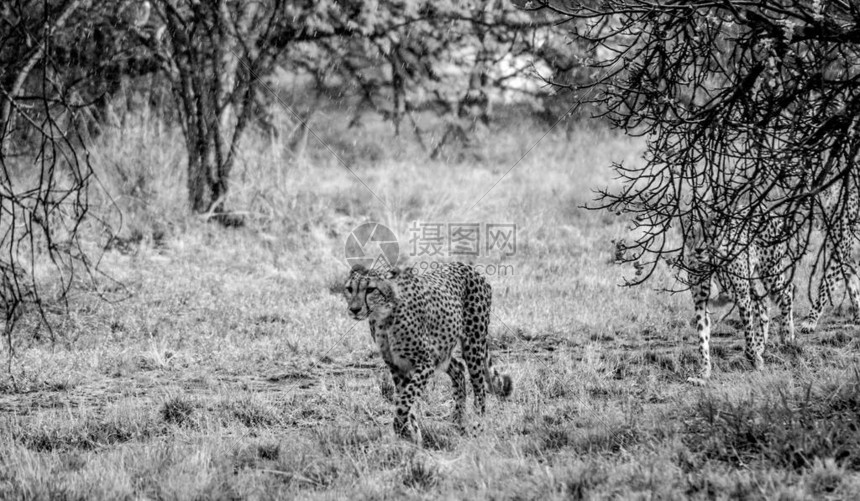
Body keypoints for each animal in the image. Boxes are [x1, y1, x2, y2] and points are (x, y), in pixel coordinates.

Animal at [344, 262, 516, 442]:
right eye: (349, 289)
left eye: (371, 289)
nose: (354, 309)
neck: (384, 317)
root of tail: (467, 267)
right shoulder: (397, 366)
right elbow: (405, 400)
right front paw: (412, 434)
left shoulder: (425, 363)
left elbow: (405, 399)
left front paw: (401, 428)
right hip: (443, 350)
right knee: (458, 369)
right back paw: (458, 420)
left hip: (473, 345)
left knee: (479, 389)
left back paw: (478, 426)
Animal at [684, 214, 800, 382]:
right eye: (692, 232)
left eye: (709, 233)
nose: (699, 249)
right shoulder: (700, 302)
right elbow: (702, 340)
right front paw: (703, 372)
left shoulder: (742, 297)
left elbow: (748, 333)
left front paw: (755, 360)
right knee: (763, 303)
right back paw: (761, 345)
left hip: (770, 272)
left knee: (787, 292)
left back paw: (786, 335)